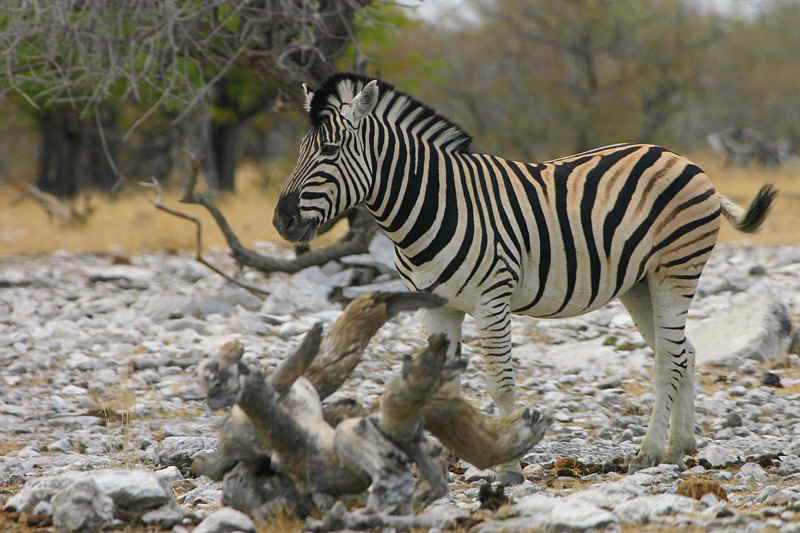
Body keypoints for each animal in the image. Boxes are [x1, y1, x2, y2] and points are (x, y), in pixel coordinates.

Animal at [274, 71, 776, 478]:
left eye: (330, 151)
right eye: (298, 151)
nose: (282, 221)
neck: (432, 205)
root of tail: (680, 158)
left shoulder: (491, 300)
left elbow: (501, 381)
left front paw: (508, 465)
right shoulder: (438, 307)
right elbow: (443, 384)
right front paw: (451, 457)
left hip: (675, 270)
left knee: (668, 358)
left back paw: (651, 452)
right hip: (638, 285)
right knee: (683, 352)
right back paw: (680, 446)